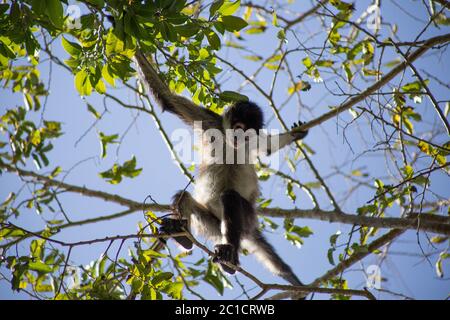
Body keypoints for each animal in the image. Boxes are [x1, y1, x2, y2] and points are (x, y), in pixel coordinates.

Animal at [134, 50, 310, 288]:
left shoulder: (252, 142)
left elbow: (268, 148)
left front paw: (295, 134)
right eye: (237, 126)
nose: (238, 136)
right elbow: (168, 98)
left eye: (246, 132)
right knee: (184, 197)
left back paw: (229, 256)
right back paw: (184, 237)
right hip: (212, 225)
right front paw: (134, 49)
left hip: (246, 217)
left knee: (230, 197)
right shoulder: (211, 121)